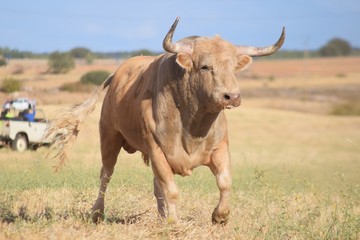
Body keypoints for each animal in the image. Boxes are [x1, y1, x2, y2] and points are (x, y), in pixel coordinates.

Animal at [46, 17, 286, 225]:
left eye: (234, 67)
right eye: (205, 66)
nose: (232, 96)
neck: (192, 124)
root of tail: (117, 75)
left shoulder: (219, 148)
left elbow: (224, 182)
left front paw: (220, 217)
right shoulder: (157, 150)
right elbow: (170, 189)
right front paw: (173, 222)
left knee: (154, 186)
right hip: (109, 138)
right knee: (106, 175)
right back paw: (97, 212)